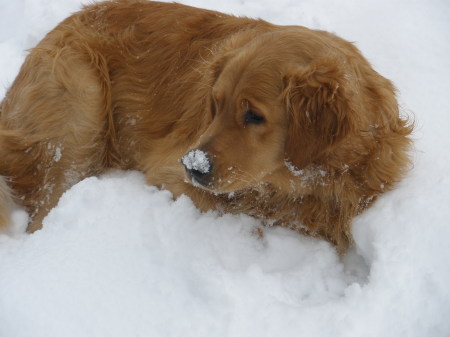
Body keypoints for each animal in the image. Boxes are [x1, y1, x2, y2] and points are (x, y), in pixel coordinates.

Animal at [0, 0, 412, 252]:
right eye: (215, 105)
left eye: (253, 115)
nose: (193, 166)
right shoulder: (168, 173)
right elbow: (244, 215)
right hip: (79, 115)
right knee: (42, 211)